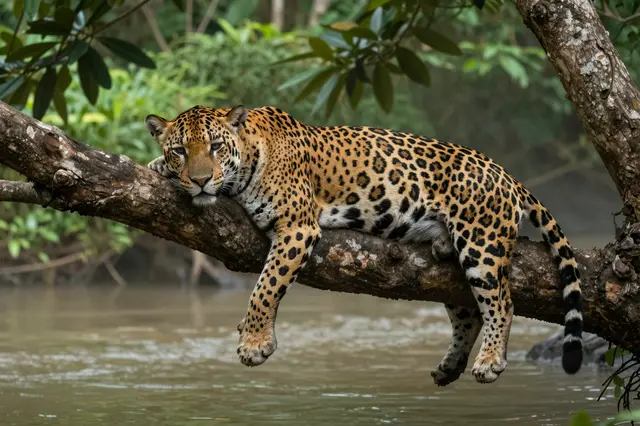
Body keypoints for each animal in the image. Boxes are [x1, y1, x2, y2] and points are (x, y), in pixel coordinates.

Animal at [144, 104, 584, 385]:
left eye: (216, 147)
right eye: (180, 150)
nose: (201, 180)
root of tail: (507, 174)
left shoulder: (297, 228)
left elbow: (265, 287)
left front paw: (254, 343)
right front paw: (158, 166)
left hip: (481, 242)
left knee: (501, 303)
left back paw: (489, 361)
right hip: (452, 267)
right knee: (469, 312)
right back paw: (449, 367)